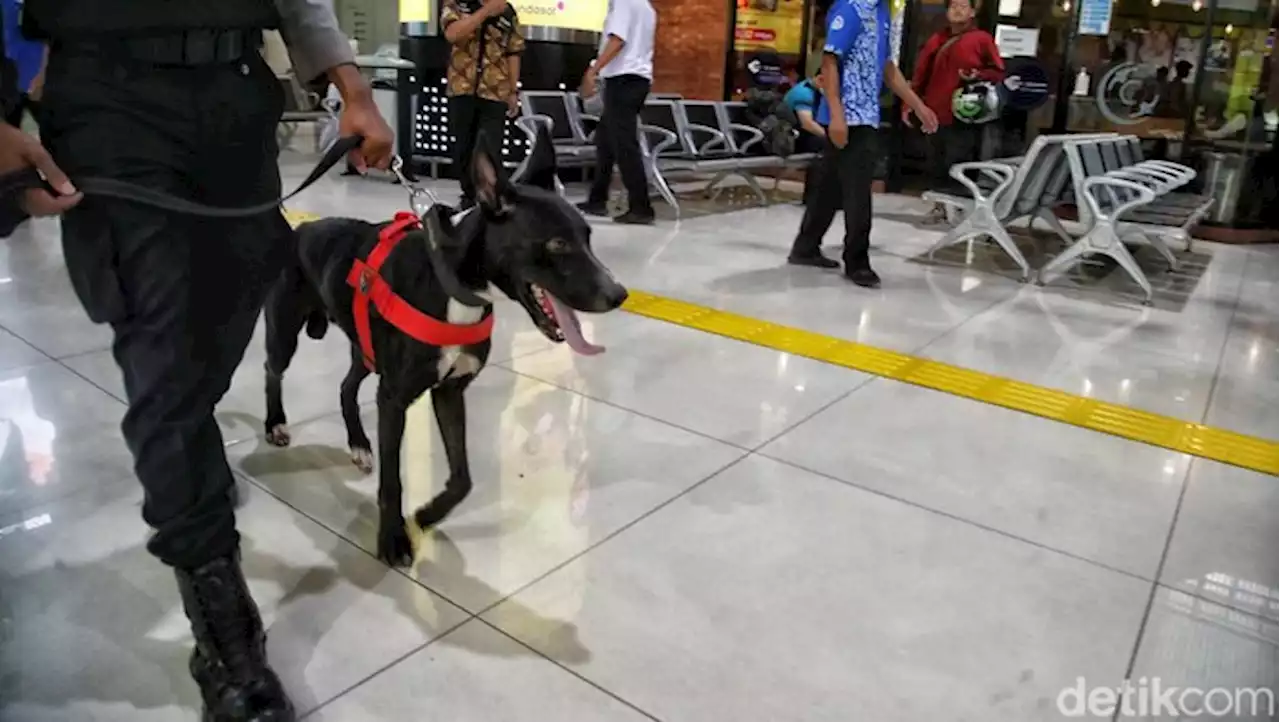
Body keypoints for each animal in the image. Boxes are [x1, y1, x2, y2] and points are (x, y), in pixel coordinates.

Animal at [261, 131, 629, 570]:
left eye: (588, 237)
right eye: (557, 243)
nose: (619, 294)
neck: (456, 286)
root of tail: (296, 229)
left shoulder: (450, 391)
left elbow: (463, 479)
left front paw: (427, 514)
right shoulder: (394, 399)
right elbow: (393, 481)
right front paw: (393, 539)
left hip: (365, 350)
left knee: (347, 386)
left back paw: (359, 444)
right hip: (285, 333)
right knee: (272, 371)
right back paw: (276, 423)